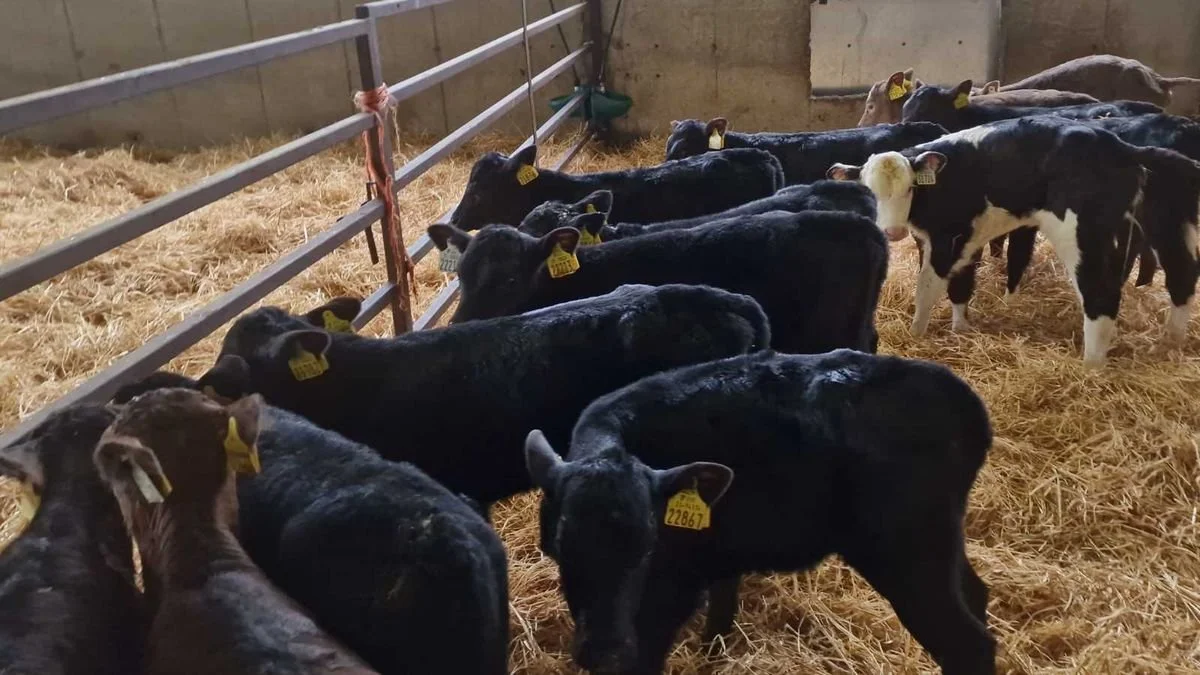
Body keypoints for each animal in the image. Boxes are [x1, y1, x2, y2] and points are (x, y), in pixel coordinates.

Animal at [526, 348, 995, 675]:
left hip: (909, 557)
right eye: (562, 547)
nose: (601, 651)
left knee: (969, 645)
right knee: (976, 595)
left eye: (647, 547)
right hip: (941, 545)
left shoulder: (673, 587)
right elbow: (722, 606)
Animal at [827, 115, 1200, 366]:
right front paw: (961, 328)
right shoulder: (957, 237)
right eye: (868, 191)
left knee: (1101, 295)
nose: (893, 232)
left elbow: (928, 287)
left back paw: (1091, 367)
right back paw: (1170, 342)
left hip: (1083, 234)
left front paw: (916, 334)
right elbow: (962, 285)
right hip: (1156, 221)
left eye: (909, 188)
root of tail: (1126, 150)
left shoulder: (951, 236)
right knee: (1182, 276)